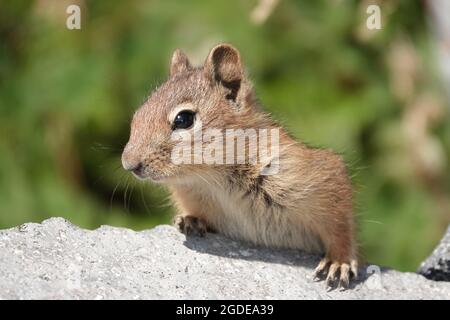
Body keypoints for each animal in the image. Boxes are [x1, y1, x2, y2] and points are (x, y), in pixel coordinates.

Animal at [121, 43, 356, 290]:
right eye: (138, 113)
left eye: (183, 119)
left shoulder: (321, 176)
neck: (214, 180)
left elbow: (340, 225)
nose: (129, 163)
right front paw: (190, 220)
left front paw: (339, 261)